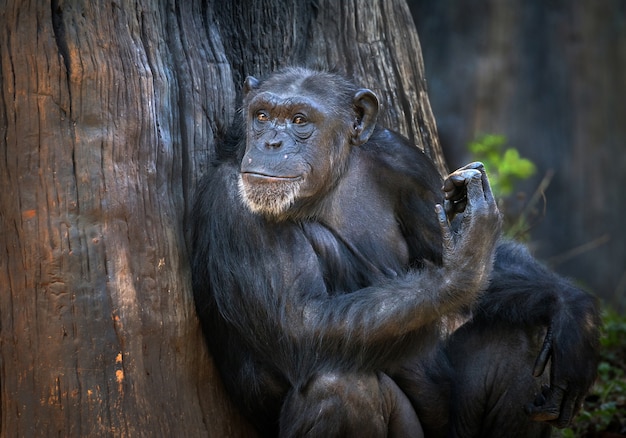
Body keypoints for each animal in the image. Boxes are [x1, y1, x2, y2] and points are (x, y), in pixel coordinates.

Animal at [191, 66, 600, 436]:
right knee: (340, 387)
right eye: (261, 116)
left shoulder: (405, 163)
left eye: (299, 120)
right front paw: (466, 261)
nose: (271, 143)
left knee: (521, 342)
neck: (329, 182)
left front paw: (574, 315)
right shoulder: (235, 207)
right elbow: (300, 321)